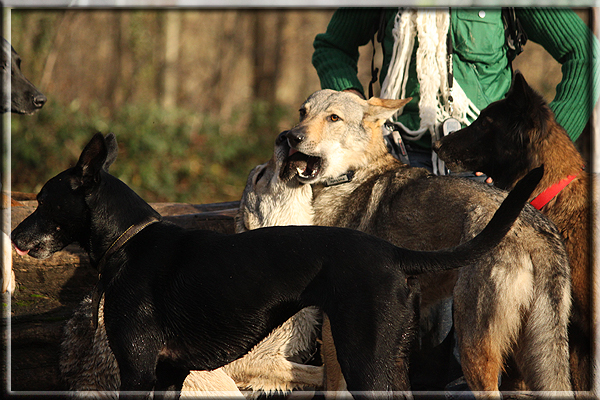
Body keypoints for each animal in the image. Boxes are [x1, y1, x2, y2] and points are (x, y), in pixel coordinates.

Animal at [10, 134, 544, 396]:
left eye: (42, 200)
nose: (13, 236)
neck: (131, 240)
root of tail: (392, 253)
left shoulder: (140, 369)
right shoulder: (170, 373)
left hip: (363, 357)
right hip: (389, 358)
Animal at [280, 91, 572, 396]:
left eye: (333, 118)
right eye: (303, 112)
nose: (291, 137)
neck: (353, 177)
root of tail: (537, 229)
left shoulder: (336, 324)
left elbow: (335, 386)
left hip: (474, 348)